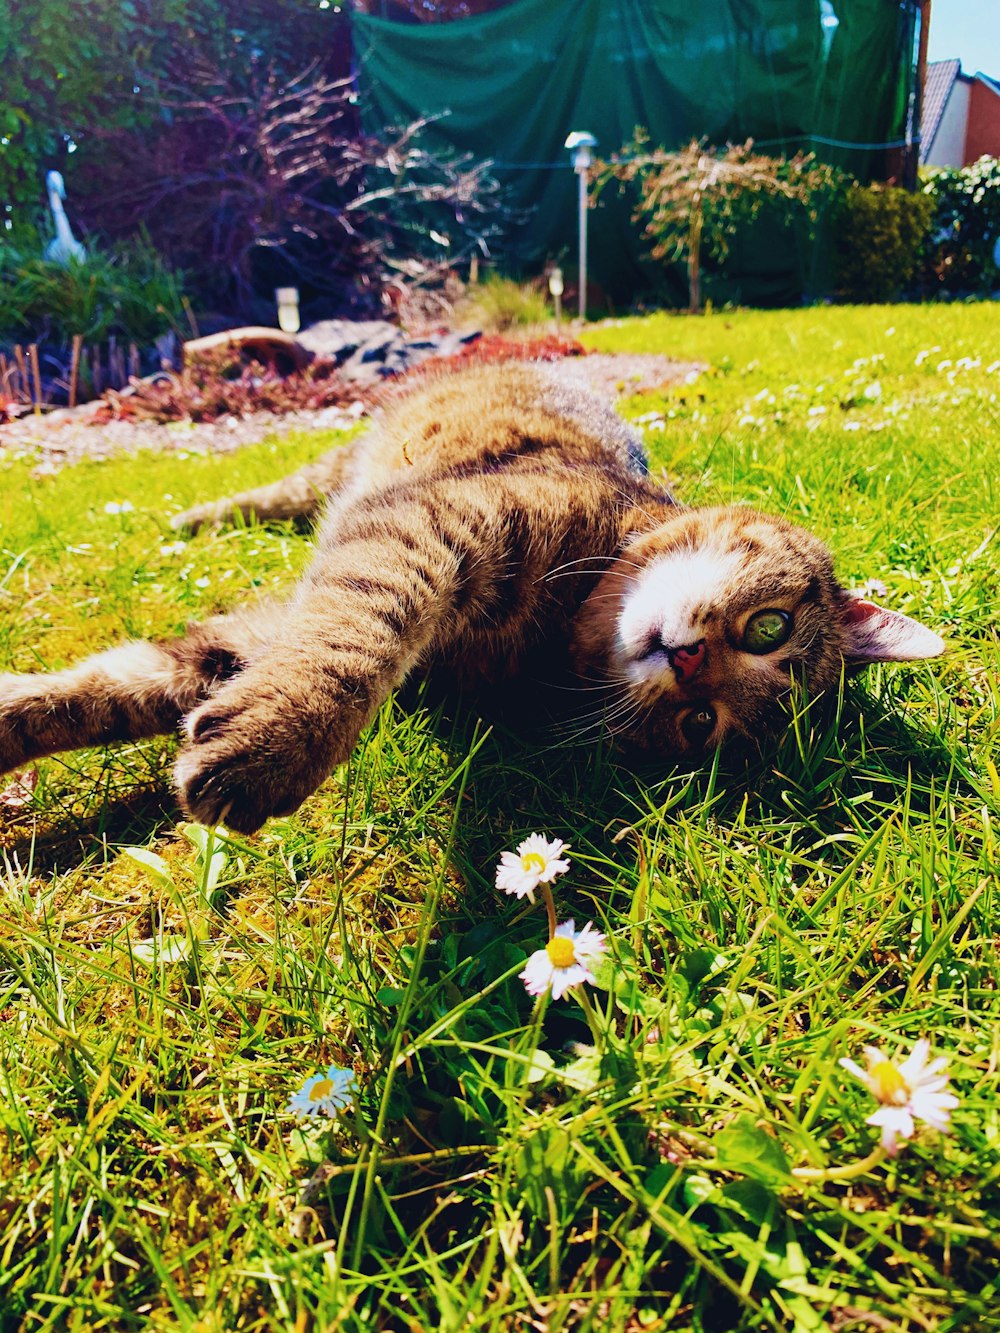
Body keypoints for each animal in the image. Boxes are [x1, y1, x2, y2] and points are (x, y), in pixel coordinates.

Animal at [0, 359, 949, 826]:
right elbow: (356, 631)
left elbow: (117, 685)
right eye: (769, 627)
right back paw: (195, 516)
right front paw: (280, 738)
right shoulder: (427, 526)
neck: (559, 627)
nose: (685, 663)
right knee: (279, 491)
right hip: (345, 458)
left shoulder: (258, 637)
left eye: (697, 724)